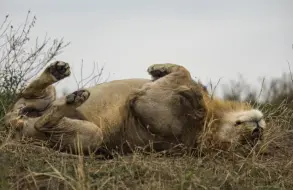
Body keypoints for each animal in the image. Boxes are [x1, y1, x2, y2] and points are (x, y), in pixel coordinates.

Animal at [2, 60, 266, 156]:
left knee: (42, 122)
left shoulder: (145, 105)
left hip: (91, 136)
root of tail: (11, 126)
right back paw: (57, 71)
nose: (257, 131)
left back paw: (74, 99)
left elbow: (185, 77)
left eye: (250, 142)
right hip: (41, 99)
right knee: (29, 93)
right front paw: (159, 69)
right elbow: (187, 74)